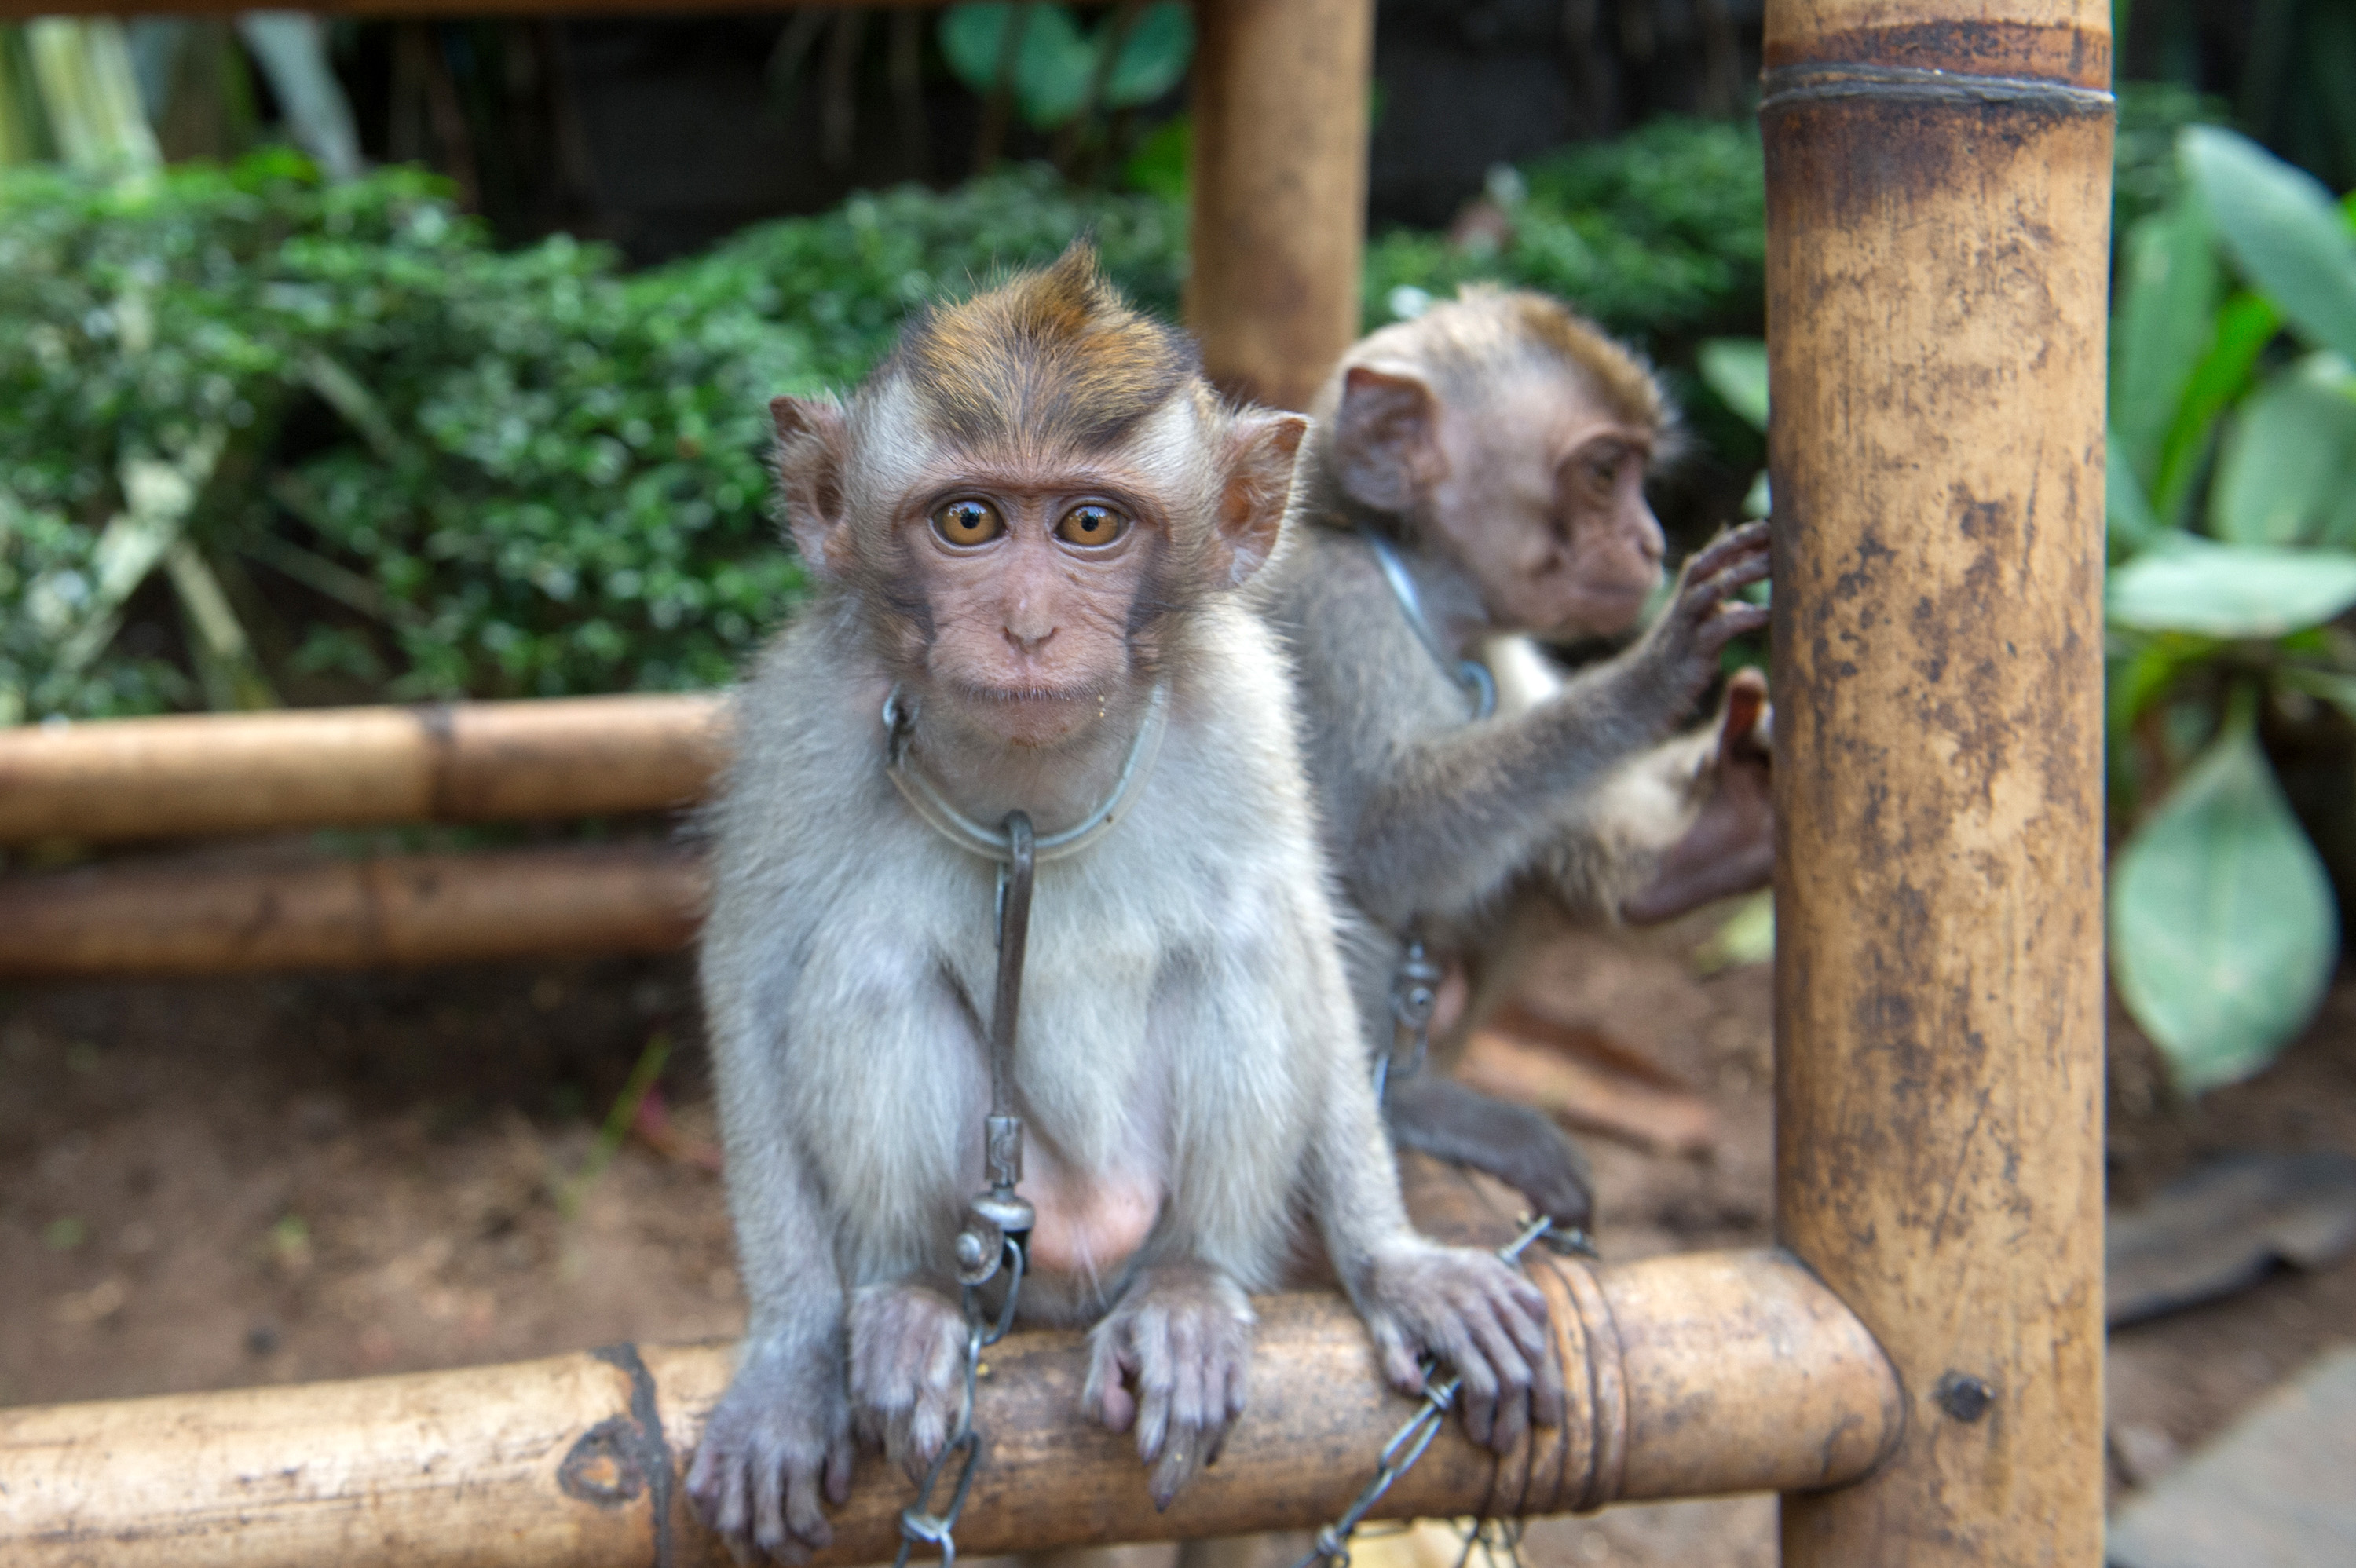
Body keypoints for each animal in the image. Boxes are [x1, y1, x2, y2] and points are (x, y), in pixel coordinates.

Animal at [688, 250, 1564, 1554]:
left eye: (1090, 523)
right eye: (968, 520)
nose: (1028, 627)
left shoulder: (1252, 702)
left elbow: (1306, 939)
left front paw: (1397, 1262)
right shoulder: (805, 711)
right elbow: (750, 977)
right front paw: (789, 1362)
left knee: (1246, 945)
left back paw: (1191, 1291)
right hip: (1002, 1235)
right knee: (865, 960)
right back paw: (905, 1300)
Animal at [1263, 287, 1772, 1224]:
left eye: (1640, 474)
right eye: (1604, 473)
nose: (1651, 542)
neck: (1422, 585)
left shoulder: (1500, 649)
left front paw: (1732, 822)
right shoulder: (1332, 618)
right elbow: (1382, 844)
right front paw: (1652, 672)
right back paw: (1412, 1104)